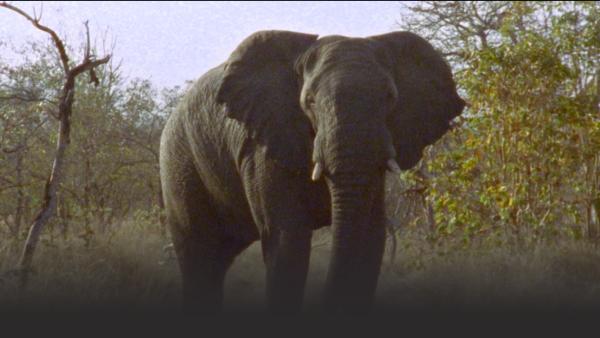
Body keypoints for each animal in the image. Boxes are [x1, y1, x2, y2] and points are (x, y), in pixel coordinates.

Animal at [159, 29, 464, 314]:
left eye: (390, 97)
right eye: (310, 101)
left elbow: (370, 238)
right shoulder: (264, 143)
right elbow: (287, 240)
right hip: (179, 162)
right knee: (200, 257)